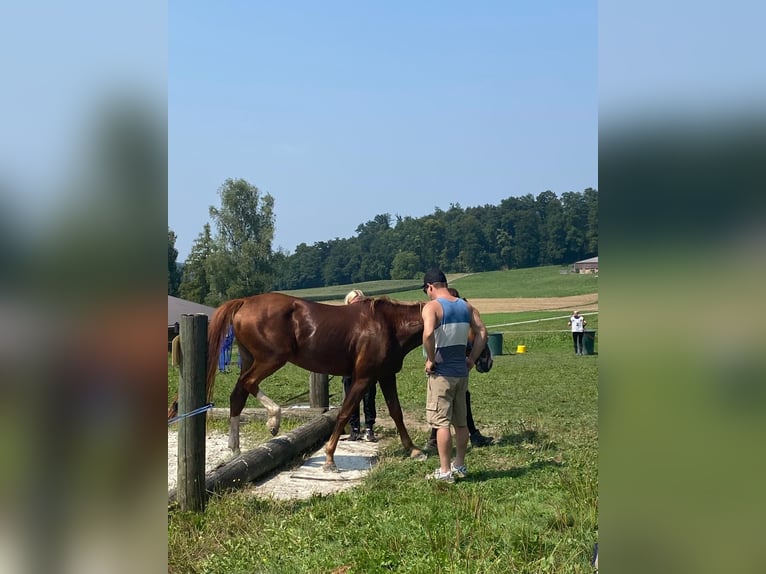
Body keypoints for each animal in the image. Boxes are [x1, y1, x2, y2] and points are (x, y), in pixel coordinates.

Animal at [168, 292, 427, 471]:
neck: (388, 325)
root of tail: (244, 301)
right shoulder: (363, 378)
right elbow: (345, 412)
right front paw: (330, 458)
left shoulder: (386, 375)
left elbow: (396, 412)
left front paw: (414, 450)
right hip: (271, 359)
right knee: (248, 383)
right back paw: (273, 420)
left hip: (250, 358)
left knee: (237, 395)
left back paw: (236, 448)